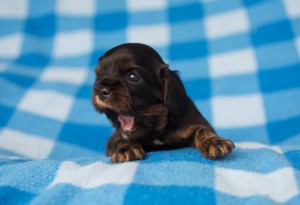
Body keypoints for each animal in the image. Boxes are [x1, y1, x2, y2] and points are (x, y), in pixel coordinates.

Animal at [91, 43, 234, 163]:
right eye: (99, 76)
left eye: (133, 77)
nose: (100, 90)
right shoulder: (116, 138)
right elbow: (123, 139)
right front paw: (126, 148)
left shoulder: (193, 123)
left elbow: (202, 130)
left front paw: (214, 142)